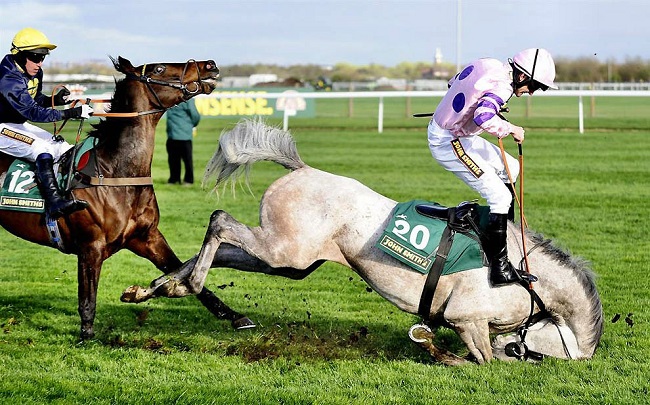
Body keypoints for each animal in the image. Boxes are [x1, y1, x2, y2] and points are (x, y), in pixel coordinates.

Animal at [0, 56, 252, 340]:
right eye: (159, 69)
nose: (209, 64)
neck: (114, 171)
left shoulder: (147, 237)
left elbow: (185, 273)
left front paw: (234, 315)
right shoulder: (91, 246)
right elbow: (87, 298)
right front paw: (86, 335)